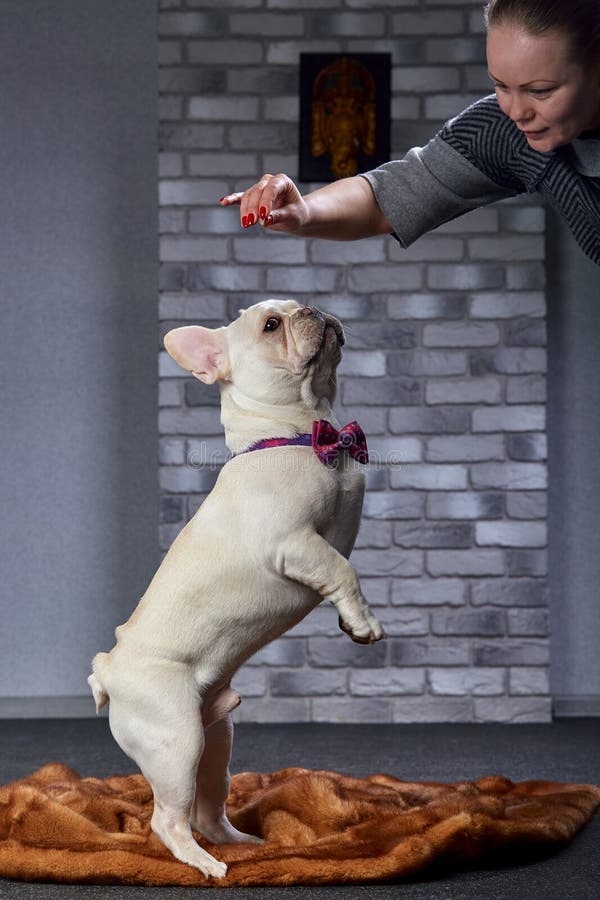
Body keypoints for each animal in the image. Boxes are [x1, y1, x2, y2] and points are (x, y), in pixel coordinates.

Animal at [87, 302, 382, 880]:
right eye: (271, 326)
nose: (312, 310)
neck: (303, 430)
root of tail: (109, 669)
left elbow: (345, 567)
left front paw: (348, 619)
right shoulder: (294, 544)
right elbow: (342, 570)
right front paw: (362, 624)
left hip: (215, 744)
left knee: (206, 808)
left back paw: (245, 845)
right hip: (176, 741)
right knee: (168, 820)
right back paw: (205, 864)